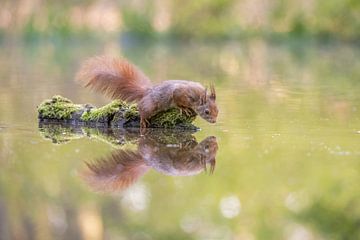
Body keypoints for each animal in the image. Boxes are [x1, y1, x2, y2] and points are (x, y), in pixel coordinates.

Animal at [74, 55, 218, 128]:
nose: (214, 121)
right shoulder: (180, 93)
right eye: (207, 111)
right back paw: (143, 120)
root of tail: (147, 92)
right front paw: (184, 108)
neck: (197, 96)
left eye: (218, 110)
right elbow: (178, 101)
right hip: (151, 106)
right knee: (142, 108)